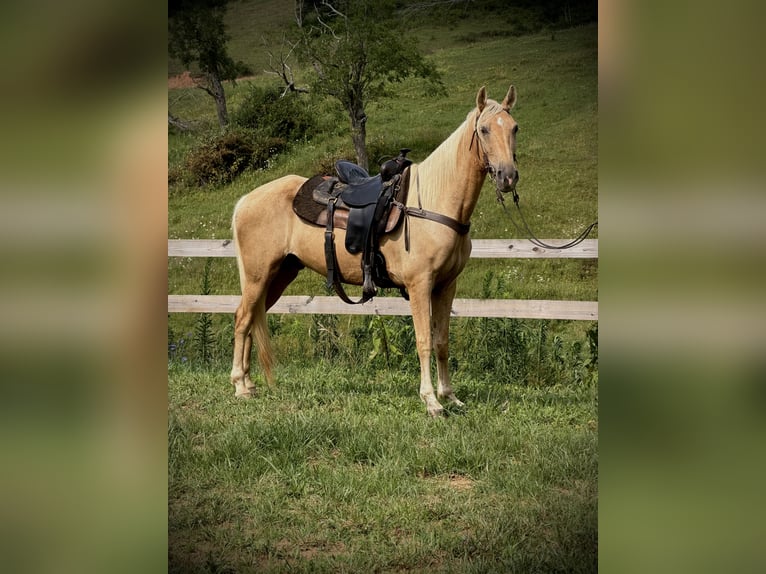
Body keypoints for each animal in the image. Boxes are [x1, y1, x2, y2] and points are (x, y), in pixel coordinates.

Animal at [230, 84, 519, 417]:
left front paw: (450, 396)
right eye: (484, 129)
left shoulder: (446, 286)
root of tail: (246, 200)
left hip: (278, 275)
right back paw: (239, 385)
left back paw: (249, 384)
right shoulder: (420, 285)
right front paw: (431, 401)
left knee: (252, 318)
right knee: (242, 318)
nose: (508, 176)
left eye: (514, 128)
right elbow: (424, 341)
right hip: (258, 276)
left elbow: (442, 341)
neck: (432, 202)